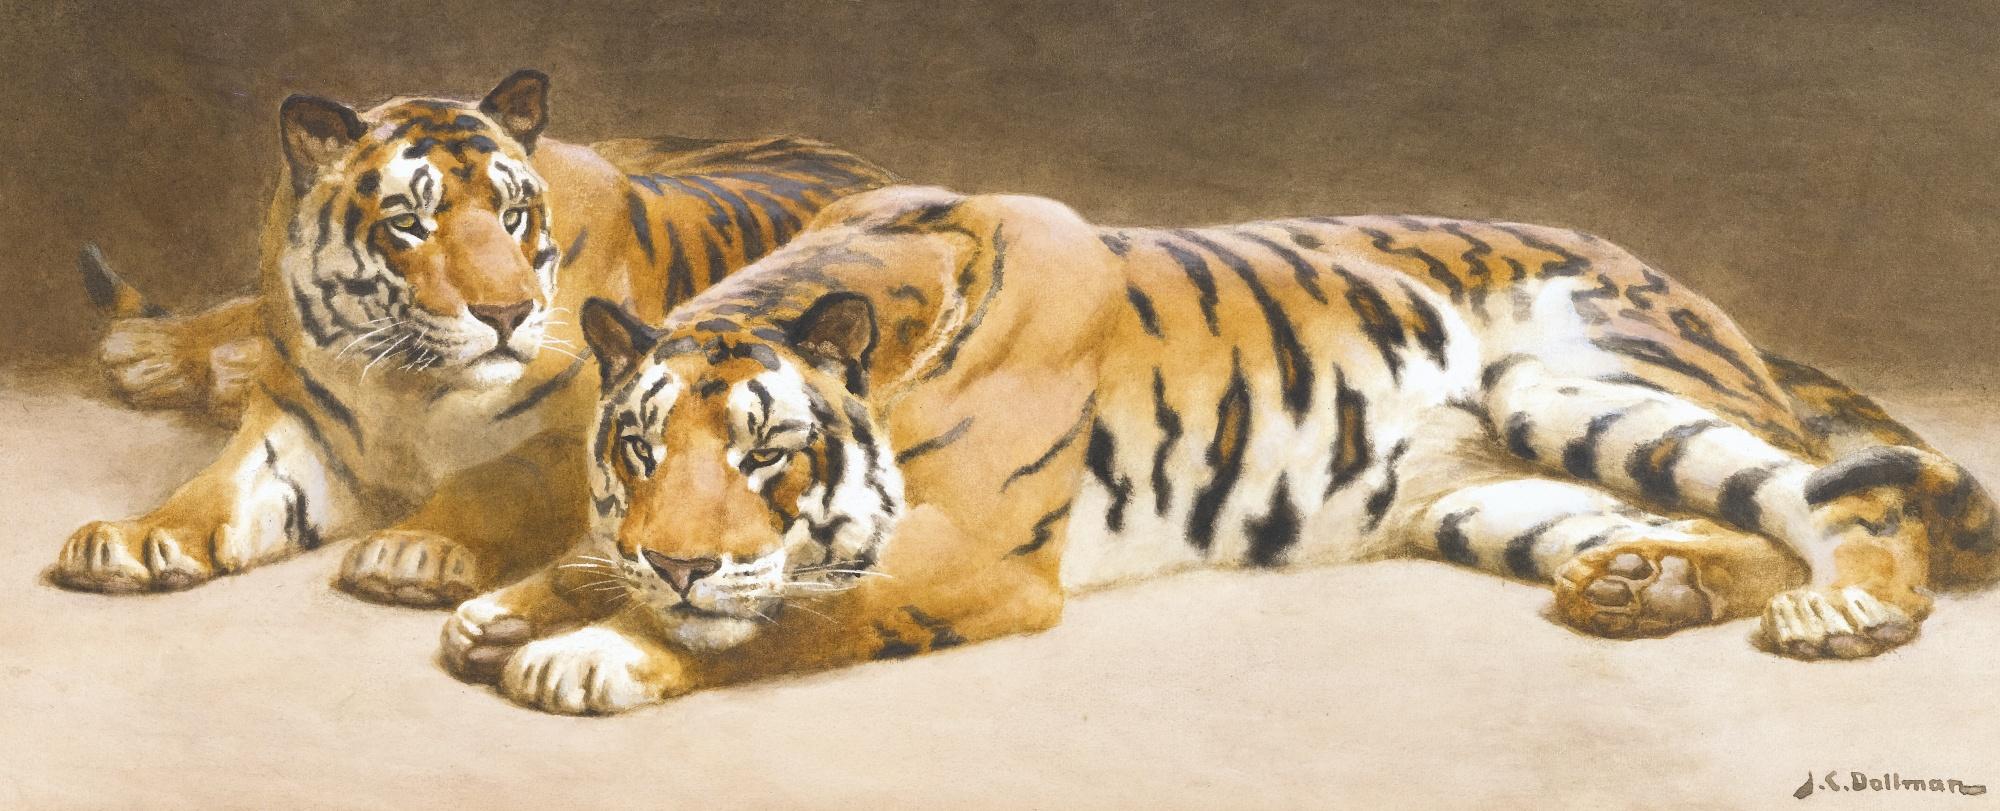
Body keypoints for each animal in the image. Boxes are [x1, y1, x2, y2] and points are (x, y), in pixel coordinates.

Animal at [49, 70, 897, 606]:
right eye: (409, 222)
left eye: (513, 214)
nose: (509, 312)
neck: (399, 377)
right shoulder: (299, 425)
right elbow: (211, 489)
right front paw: (135, 539)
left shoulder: (569, 442)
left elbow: (489, 481)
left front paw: (411, 549)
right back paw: (153, 350)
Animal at [431, 185, 1997, 715]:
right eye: (637, 452)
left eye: (770, 458)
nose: (681, 559)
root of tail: (1691, 286)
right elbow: (586, 559)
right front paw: (514, 604)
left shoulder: (974, 558)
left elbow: (769, 621)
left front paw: (596, 648)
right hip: (1488, 492)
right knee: (1732, 523)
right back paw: (1640, 586)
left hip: (1590, 385)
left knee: (1834, 499)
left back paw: (1842, 610)